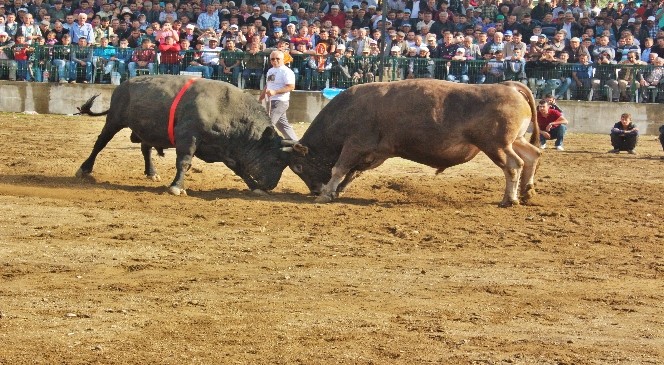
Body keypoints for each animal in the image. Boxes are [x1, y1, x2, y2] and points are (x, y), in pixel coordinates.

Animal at [76, 75, 308, 195]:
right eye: (277, 160)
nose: (271, 185)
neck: (226, 109)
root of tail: (123, 85)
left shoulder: (224, 149)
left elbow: (239, 168)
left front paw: (254, 187)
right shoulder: (188, 137)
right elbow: (184, 162)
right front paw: (176, 187)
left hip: (146, 130)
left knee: (145, 148)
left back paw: (151, 172)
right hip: (114, 120)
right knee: (100, 143)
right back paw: (84, 169)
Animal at [288, 78, 544, 206]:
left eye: (298, 167)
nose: (313, 190)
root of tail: (508, 86)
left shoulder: (354, 145)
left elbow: (339, 169)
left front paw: (325, 194)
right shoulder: (374, 153)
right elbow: (351, 173)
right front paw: (336, 191)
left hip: (496, 146)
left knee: (513, 165)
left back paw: (510, 199)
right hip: (514, 140)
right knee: (532, 155)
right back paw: (526, 191)